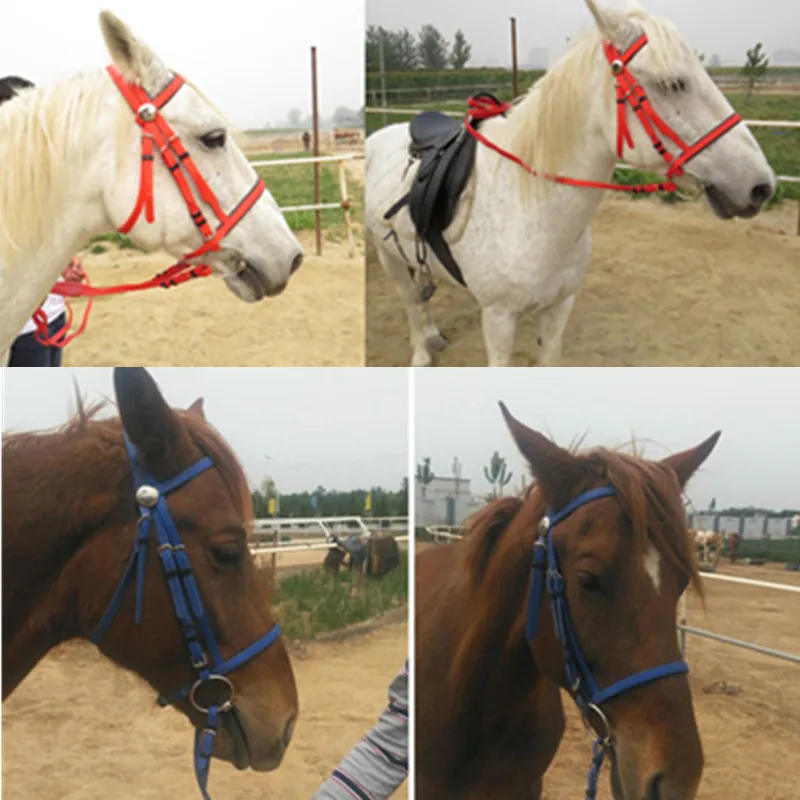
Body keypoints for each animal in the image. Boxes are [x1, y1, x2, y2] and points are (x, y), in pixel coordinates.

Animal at [366, 0, 776, 367]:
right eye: (674, 83)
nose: (761, 186)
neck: (533, 213)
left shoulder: (559, 307)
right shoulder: (498, 319)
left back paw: (434, 335)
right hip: (389, 259)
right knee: (411, 301)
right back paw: (421, 352)